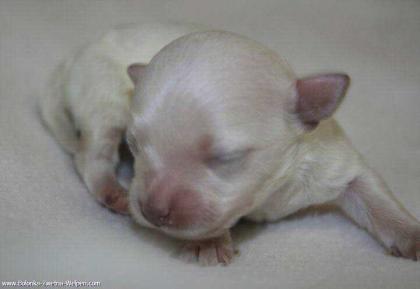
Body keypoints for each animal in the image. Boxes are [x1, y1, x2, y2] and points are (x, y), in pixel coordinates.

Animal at [40, 23, 420, 266]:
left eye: (226, 157)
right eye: (134, 146)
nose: (151, 212)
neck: (268, 197)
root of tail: (77, 54)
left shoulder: (334, 162)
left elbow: (373, 194)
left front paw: (411, 236)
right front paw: (207, 243)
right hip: (104, 98)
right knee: (90, 156)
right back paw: (112, 191)